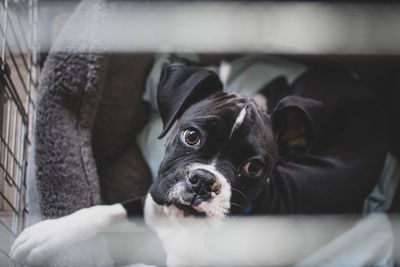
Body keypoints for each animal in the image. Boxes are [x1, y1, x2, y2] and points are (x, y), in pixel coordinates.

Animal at [10, 64, 386, 266]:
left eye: (254, 168)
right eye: (191, 136)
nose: (204, 180)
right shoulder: (150, 203)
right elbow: (105, 210)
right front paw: (47, 234)